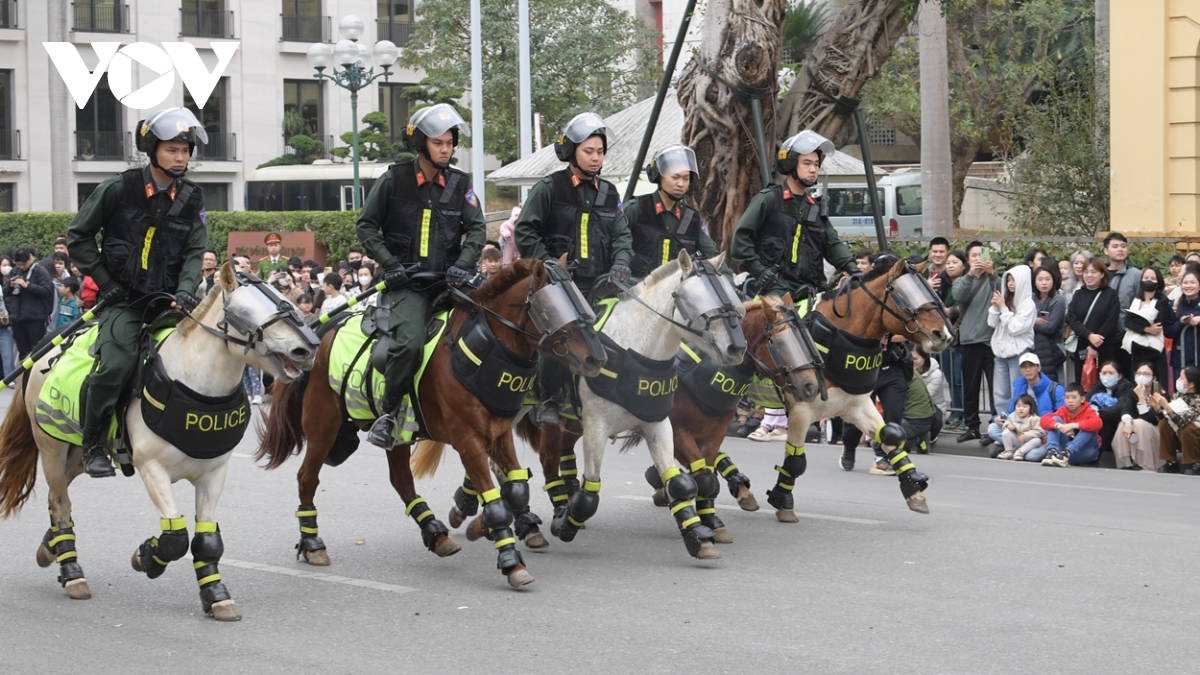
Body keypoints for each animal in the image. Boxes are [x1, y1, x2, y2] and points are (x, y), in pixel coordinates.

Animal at [0, 260, 319, 619]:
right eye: (247, 310)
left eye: (289, 300)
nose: (306, 349)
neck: (192, 382)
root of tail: (42, 349)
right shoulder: (152, 468)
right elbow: (175, 539)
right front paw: (146, 557)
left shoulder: (213, 473)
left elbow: (207, 541)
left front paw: (216, 595)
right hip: (51, 446)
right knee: (60, 501)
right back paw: (71, 571)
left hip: (75, 455)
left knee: (59, 496)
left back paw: (50, 547)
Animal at [256, 254, 604, 586]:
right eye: (553, 308)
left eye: (579, 299)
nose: (596, 358)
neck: (483, 349)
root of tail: (322, 331)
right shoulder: (467, 440)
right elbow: (495, 502)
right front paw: (510, 561)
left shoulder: (499, 432)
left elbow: (516, 489)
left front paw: (489, 526)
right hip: (323, 424)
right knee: (307, 479)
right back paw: (313, 544)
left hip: (396, 431)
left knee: (401, 479)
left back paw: (434, 533)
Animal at [511, 249, 744, 559]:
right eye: (700, 302)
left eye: (733, 299)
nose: (736, 349)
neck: (635, 351)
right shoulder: (596, 427)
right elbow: (591, 492)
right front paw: (567, 525)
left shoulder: (658, 425)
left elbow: (679, 482)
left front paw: (697, 537)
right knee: (546, 464)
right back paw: (552, 515)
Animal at [648, 294, 825, 540]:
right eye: (780, 344)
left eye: (805, 339)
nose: (811, 387)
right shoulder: (678, 432)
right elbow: (702, 476)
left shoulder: (713, 435)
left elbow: (707, 475)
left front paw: (712, 520)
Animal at [758, 257, 955, 521]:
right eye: (904, 295)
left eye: (930, 291)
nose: (944, 335)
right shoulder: (801, 410)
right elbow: (795, 460)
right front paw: (783, 499)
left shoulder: (856, 405)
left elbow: (890, 434)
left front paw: (913, 488)